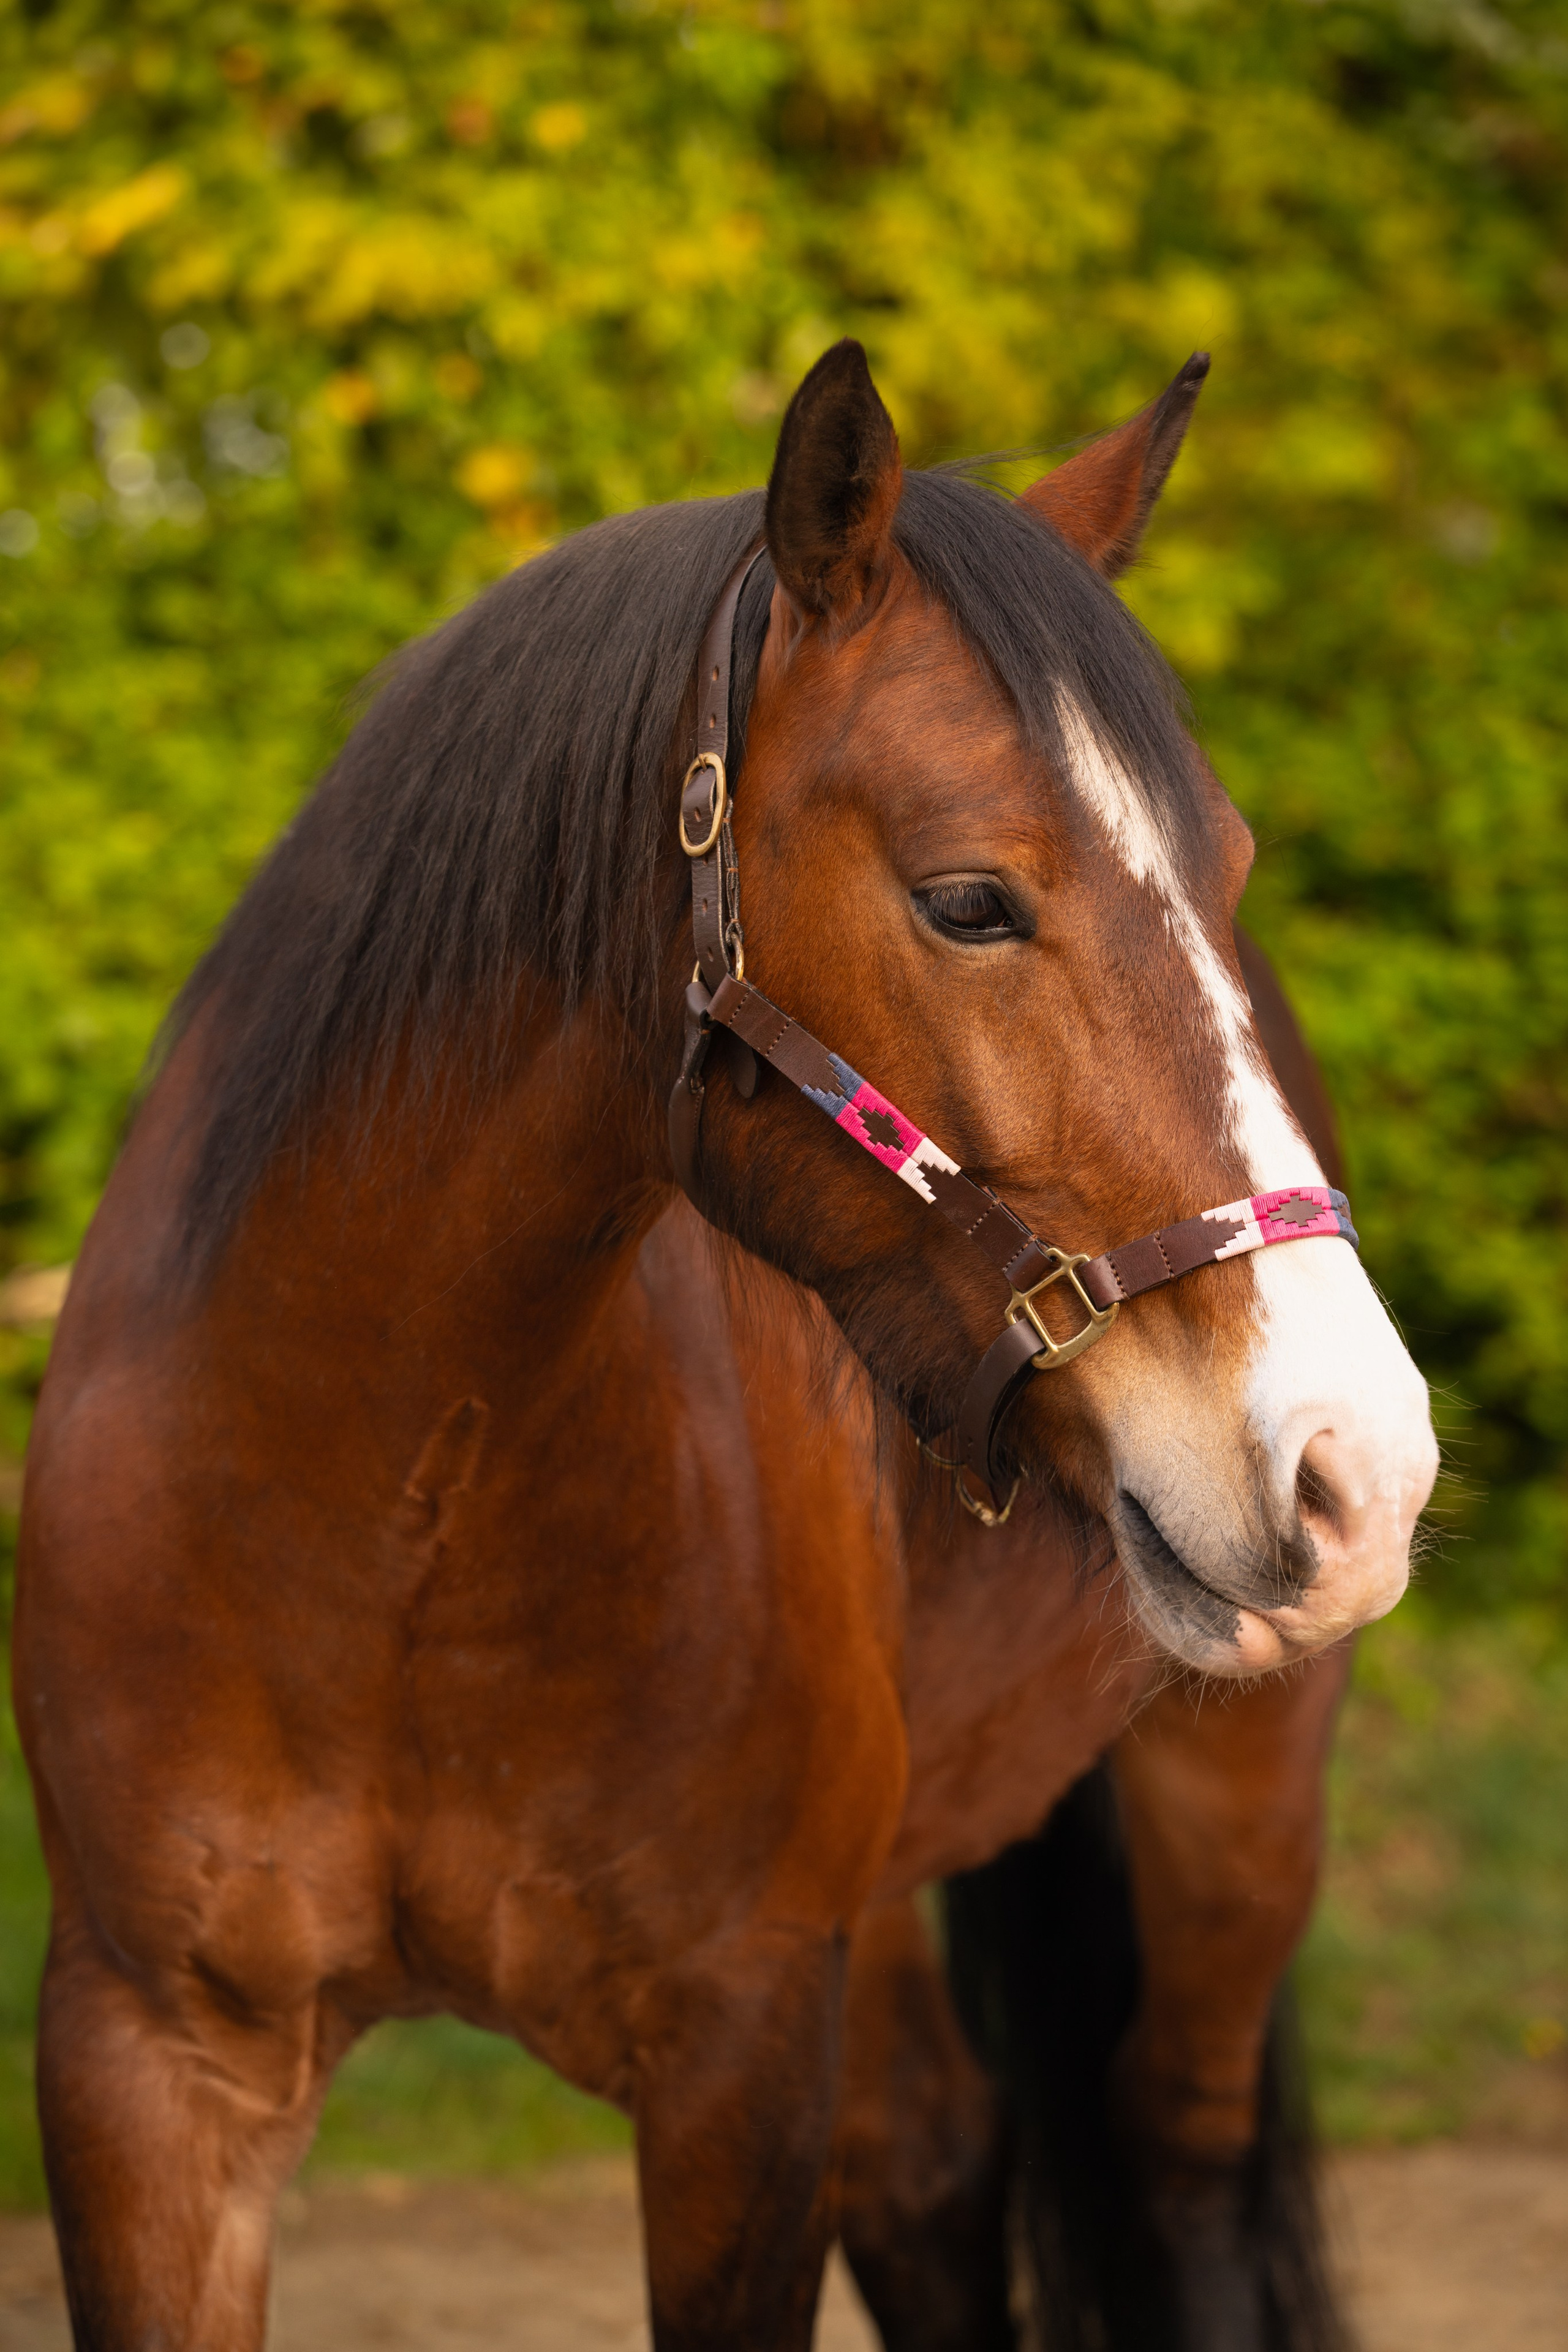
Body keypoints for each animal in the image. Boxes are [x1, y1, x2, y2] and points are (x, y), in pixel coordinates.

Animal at [14, 339, 1436, 2350]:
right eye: (966, 897)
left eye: (1226, 873)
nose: (1356, 1463)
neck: (385, 1500)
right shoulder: (146, 2065)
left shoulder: (739, 2054)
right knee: (937, 2165)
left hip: (1232, 1804)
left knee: (1177, 2166)